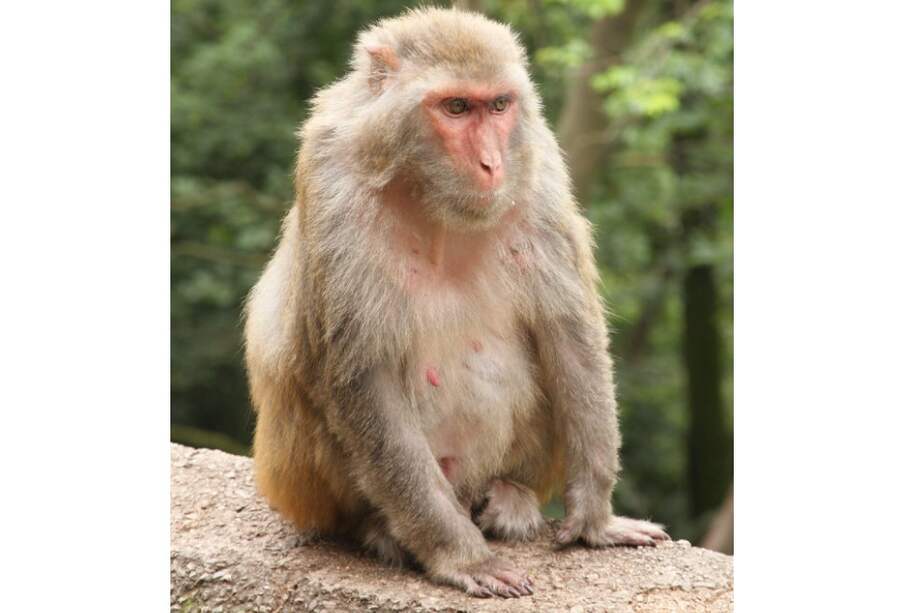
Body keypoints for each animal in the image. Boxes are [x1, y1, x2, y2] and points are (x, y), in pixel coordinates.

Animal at [243, 7, 668, 599]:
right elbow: (362, 376)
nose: (491, 163)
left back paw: (510, 494)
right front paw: (462, 557)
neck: (429, 194)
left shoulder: (537, 165)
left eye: (498, 105)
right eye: (456, 107)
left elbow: (569, 333)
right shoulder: (331, 179)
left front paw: (595, 521)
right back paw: (382, 528)